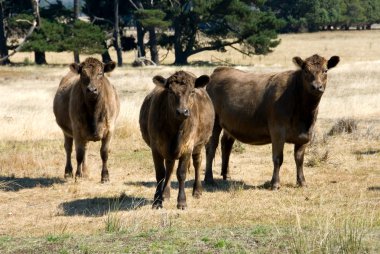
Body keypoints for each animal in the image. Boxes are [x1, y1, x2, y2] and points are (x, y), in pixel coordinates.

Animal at [140, 70, 215, 208]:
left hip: (199, 145)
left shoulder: (188, 146)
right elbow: (160, 174)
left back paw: (197, 191)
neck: (176, 130)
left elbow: (181, 173)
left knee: (197, 162)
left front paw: (182, 201)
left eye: (192, 91)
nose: (182, 111)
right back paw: (166, 194)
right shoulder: (156, 147)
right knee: (169, 167)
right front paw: (157, 201)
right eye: (170, 92)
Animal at [206, 54, 340, 189]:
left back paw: (226, 175)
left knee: (226, 144)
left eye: (325, 70)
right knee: (211, 148)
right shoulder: (277, 131)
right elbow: (278, 158)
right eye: (306, 71)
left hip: (231, 123)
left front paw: (302, 182)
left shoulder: (305, 135)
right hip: (214, 123)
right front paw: (275, 183)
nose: (317, 86)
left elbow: (299, 159)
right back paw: (209, 179)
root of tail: (219, 70)